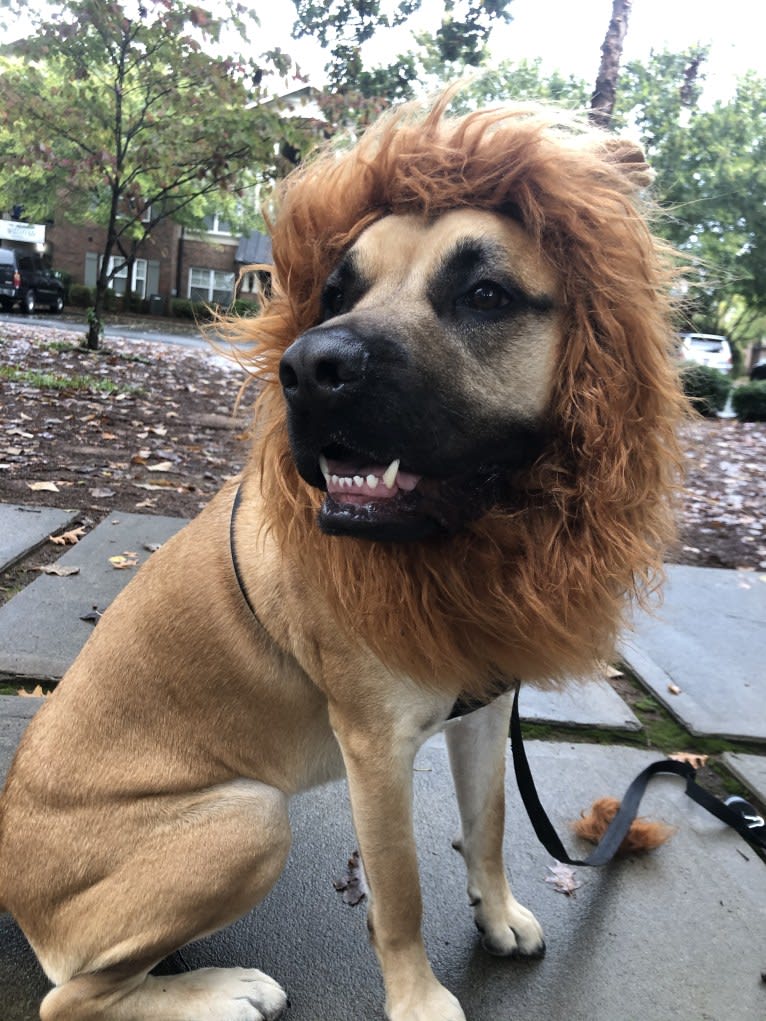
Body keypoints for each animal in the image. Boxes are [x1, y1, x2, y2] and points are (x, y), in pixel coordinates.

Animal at [0, 95, 682, 1021]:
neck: (456, 545)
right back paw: (222, 989)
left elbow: (491, 824)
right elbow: (400, 892)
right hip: (249, 818)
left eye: (486, 294)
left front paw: (496, 911)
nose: (307, 365)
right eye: (333, 292)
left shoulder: (485, 711)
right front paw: (418, 997)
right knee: (72, 999)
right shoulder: (376, 747)